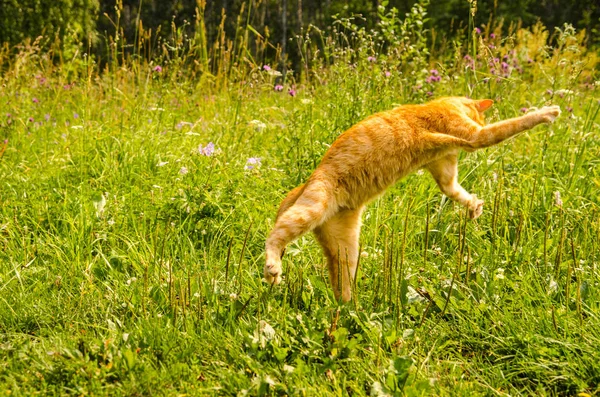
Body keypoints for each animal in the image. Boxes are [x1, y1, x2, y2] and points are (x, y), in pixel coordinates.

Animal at [264, 97, 560, 302]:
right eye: (482, 119)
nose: (482, 121)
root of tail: (304, 184)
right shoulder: (474, 136)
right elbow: (513, 124)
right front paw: (547, 112)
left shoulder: (444, 170)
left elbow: (456, 192)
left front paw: (474, 206)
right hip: (312, 208)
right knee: (273, 236)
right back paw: (273, 269)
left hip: (345, 250)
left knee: (340, 286)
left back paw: (348, 312)